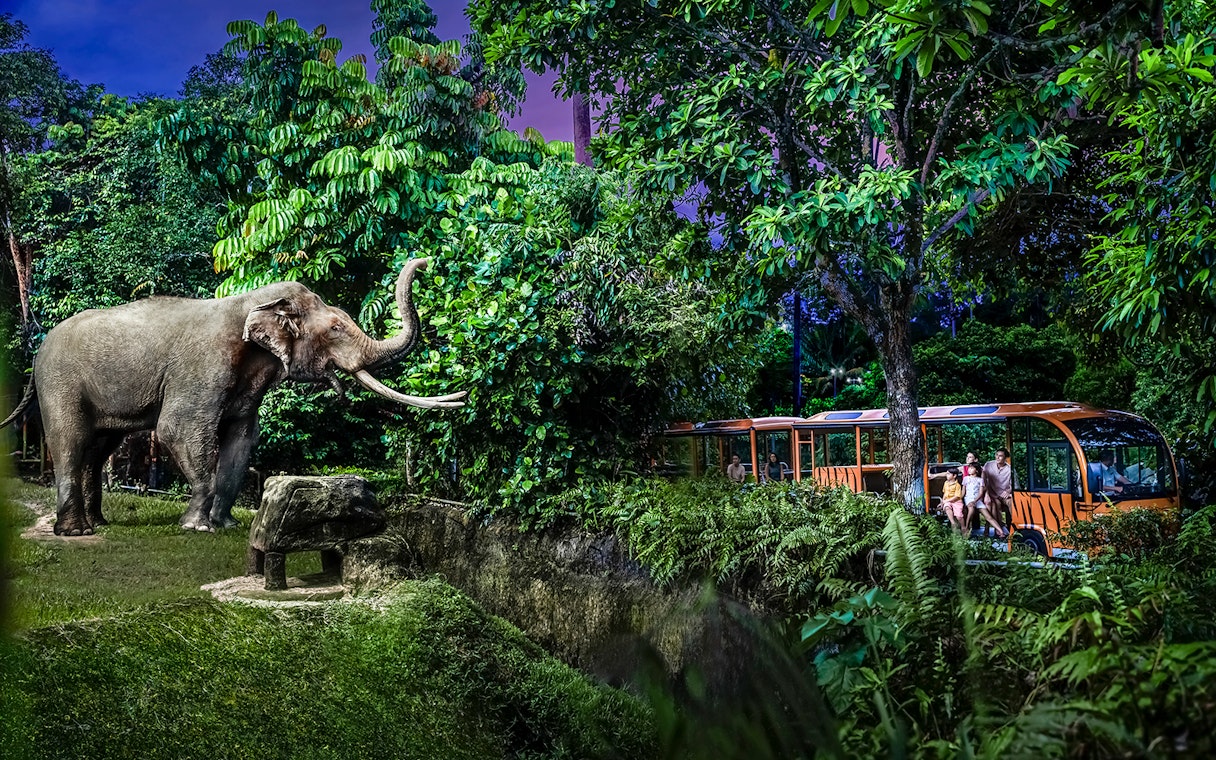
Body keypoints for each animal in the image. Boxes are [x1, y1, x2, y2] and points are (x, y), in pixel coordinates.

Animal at [0, 257, 464, 535]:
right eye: (335, 328)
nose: (426, 263)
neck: (250, 300)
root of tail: (38, 350)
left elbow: (243, 439)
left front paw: (224, 526)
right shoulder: (203, 366)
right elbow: (178, 430)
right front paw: (196, 527)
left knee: (99, 448)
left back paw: (100, 523)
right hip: (60, 382)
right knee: (71, 441)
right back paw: (76, 532)